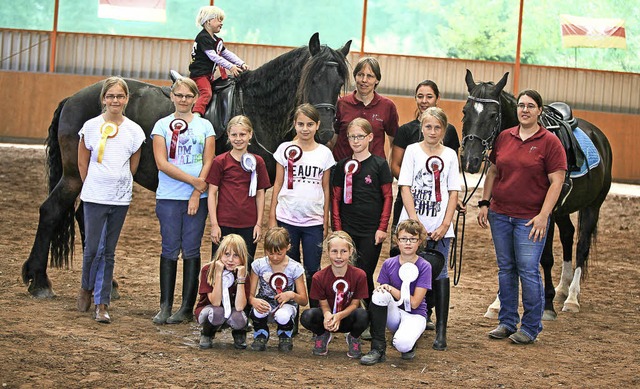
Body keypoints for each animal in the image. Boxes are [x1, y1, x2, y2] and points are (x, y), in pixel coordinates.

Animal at [22, 33, 350, 298]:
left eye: (338, 84)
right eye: (313, 78)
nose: (325, 132)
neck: (256, 109)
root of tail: (73, 99)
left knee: (84, 216)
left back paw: (105, 284)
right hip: (74, 174)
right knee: (52, 211)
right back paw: (39, 280)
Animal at [462, 69, 612, 318]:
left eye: (493, 115)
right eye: (465, 111)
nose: (469, 160)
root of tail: (599, 136)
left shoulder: (544, 216)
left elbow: (546, 258)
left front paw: (547, 305)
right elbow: (510, 256)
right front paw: (498, 303)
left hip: (592, 207)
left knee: (582, 246)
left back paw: (571, 298)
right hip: (562, 210)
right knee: (568, 234)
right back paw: (562, 288)